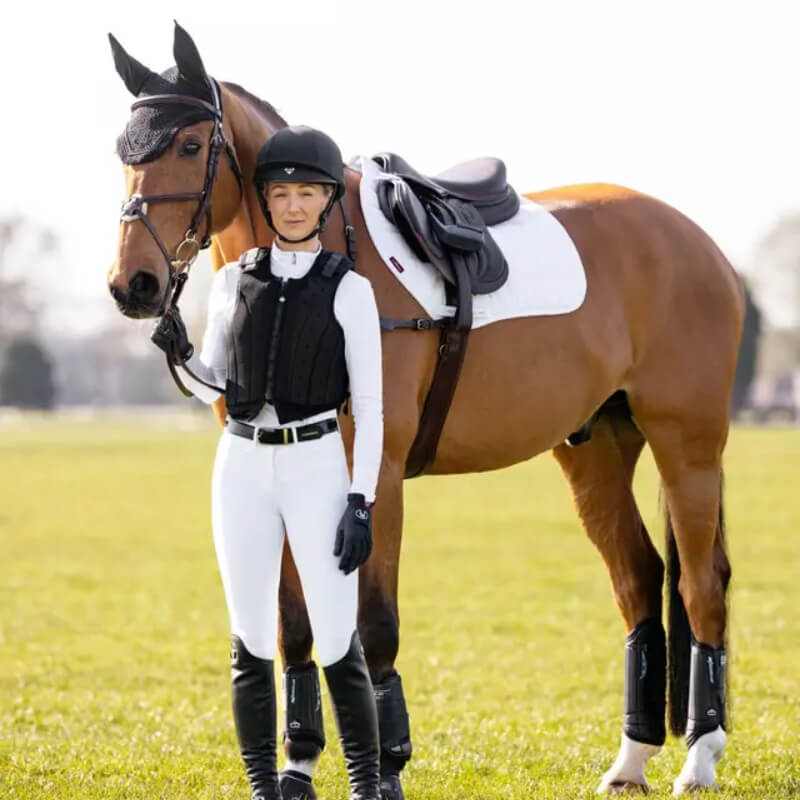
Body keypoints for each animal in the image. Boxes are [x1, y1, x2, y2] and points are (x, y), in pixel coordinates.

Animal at [106, 23, 743, 798]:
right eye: (123, 150)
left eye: (192, 145)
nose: (133, 284)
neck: (303, 271)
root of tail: (696, 239)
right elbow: (296, 626)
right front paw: (299, 762)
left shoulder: (373, 475)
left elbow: (373, 623)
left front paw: (386, 767)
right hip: (595, 449)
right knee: (640, 580)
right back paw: (630, 761)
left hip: (688, 445)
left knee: (701, 585)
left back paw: (699, 759)